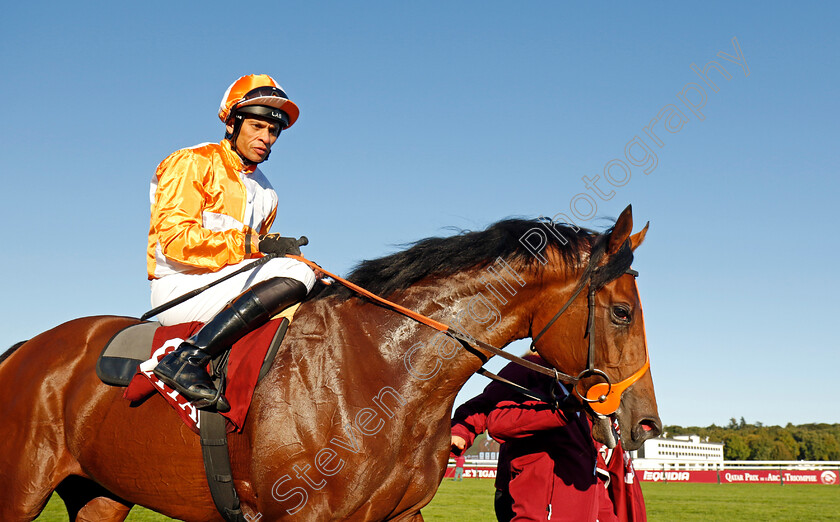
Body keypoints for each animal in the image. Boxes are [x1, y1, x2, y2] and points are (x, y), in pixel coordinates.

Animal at [0, 205, 664, 516]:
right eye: (622, 311)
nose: (646, 423)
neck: (385, 376)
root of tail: (26, 347)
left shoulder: (398, 517)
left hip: (102, 492)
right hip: (20, 490)